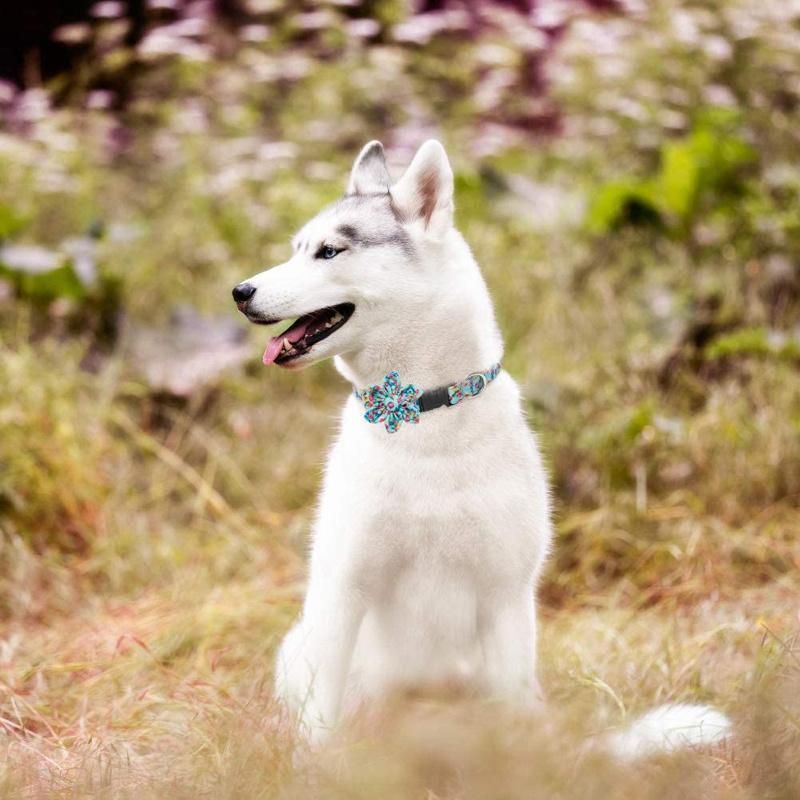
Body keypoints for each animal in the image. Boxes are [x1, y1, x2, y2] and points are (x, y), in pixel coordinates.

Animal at [233, 139, 732, 752]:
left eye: (329, 251)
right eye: (296, 250)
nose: (240, 292)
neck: (419, 412)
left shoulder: (505, 596)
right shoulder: (341, 591)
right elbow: (321, 725)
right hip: (300, 646)